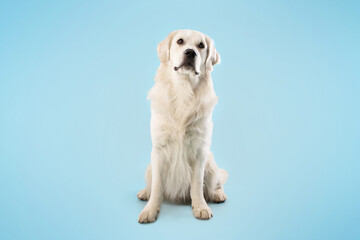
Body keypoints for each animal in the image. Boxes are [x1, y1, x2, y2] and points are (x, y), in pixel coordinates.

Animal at [138, 29, 228, 223]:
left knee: (215, 184)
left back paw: (218, 195)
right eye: (180, 41)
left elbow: (197, 185)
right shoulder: (159, 150)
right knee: (150, 184)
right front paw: (150, 210)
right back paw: (144, 192)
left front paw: (200, 207)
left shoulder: (200, 151)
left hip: (211, 166)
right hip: (149, 168)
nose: (190, 53)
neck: (183, 91)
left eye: (201, 45)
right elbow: (157, 186)